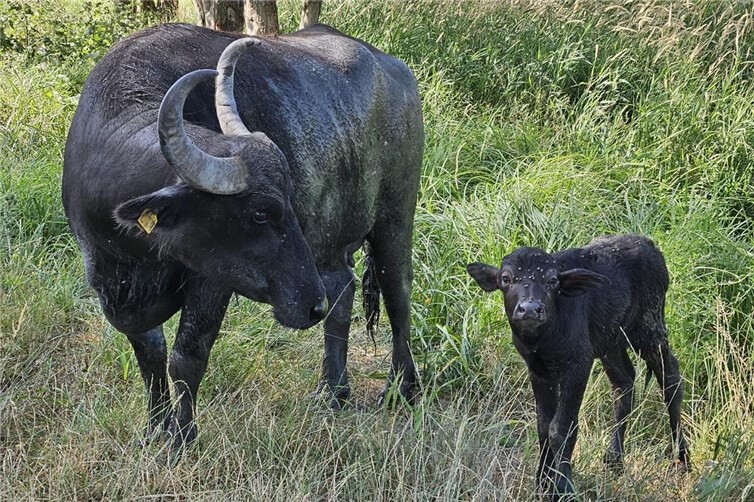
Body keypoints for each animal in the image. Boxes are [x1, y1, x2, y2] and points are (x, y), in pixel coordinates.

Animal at [62, 23, 423, 455]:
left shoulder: (211, 279)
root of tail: (396, 70)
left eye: (285, 199)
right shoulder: (109, 280)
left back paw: (401, 388)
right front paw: (155, 428)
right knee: (341, 290)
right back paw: (332, 391)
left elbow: (186, 355)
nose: (311, 306)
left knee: (397, 294)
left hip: (394, 218)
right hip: (328, 246)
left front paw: (181, 437)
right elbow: (149, 353)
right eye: (261, 212)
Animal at [467, 235, 689, 499]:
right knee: (624, 382)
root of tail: (648, 244)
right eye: (506, 278)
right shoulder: (538, 372)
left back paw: (682, 457)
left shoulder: (578, 366)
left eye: (552, 280)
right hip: (611, 342)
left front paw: (564, 486)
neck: (543, 339)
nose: (530, 309)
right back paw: (614, 459)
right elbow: (543, 426)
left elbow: (561, 428)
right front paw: (542, 482)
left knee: (671, 377)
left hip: (649, 329)